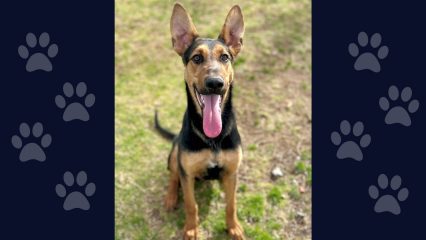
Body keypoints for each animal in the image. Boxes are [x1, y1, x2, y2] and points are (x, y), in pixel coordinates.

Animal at [155, 2, 245, 240]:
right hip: (175, 152)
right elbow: (191, 205)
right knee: (172, 175)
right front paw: (191, 229)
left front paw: (233, 227)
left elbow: (231, 204)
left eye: (225, 57)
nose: (215, 83)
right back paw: (170, 197)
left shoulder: (233, 172)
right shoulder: (187, 174)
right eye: (196, 58)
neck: (212, 138)